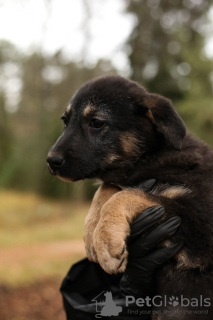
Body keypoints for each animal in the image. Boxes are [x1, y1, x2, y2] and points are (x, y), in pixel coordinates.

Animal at [47, 75, 213, 318]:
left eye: (96, 122)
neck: (151, 156)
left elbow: (129, 194)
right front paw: (91, 232)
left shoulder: (202, 224)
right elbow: (108, 187)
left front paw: (106, 241)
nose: (51, 161)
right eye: (65, 121)